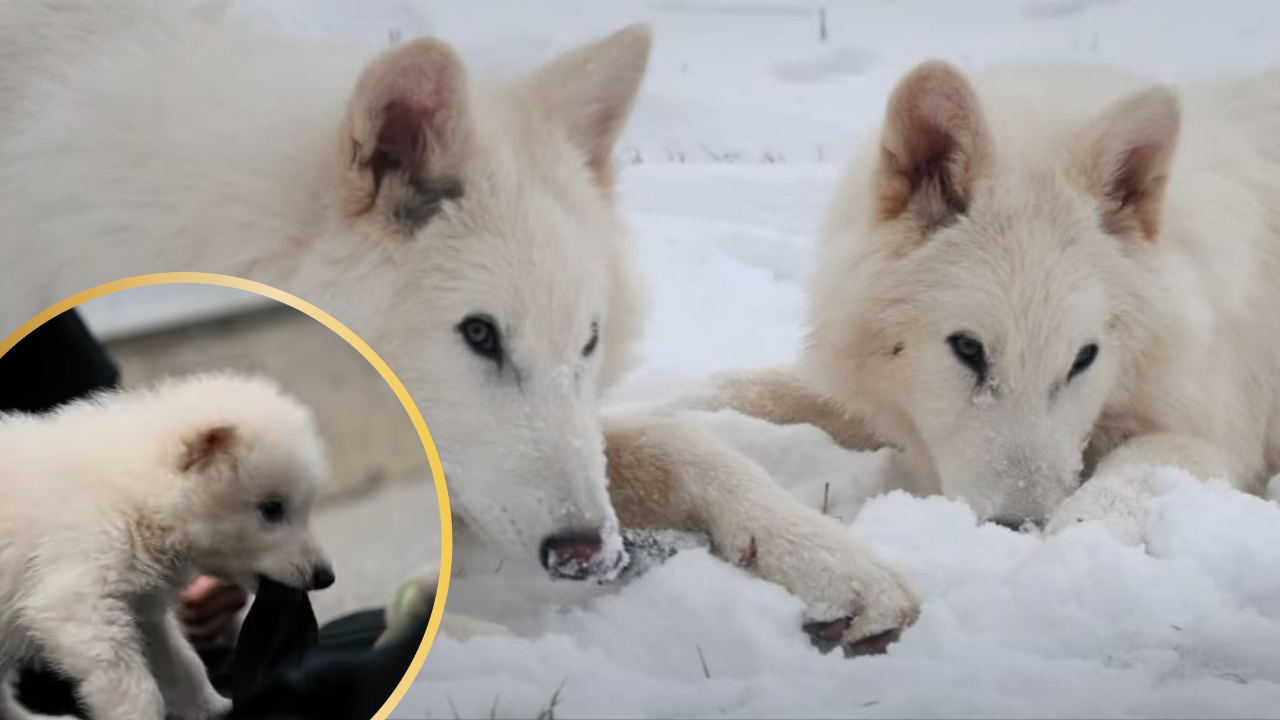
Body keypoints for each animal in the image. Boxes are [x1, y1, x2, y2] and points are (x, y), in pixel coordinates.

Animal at [0, 372, 332, 720]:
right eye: (272, 508)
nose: (325, 576)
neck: (140, 496)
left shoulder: (141, 603)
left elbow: (180, 660)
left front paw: (213, 706)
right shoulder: (82, 592)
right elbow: (129, 682)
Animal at [695, 60, 1280, 537]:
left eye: (1083, 359)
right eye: (968, 349)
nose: (1017, 527)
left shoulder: (1209, 437)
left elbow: (1110, 499)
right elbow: (746, 388)